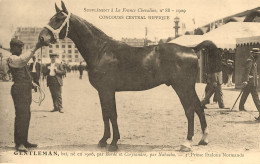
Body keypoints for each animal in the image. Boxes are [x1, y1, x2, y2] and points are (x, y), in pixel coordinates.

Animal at [38, 0, 209, 151]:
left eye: (58, 19)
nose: (41, 38)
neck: (101, 50)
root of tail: (192, 49)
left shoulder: (108, 90)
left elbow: (113, 115)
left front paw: (114, 143)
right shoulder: (102, 91)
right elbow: (105, 114)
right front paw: (103, 140)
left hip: (182, 87)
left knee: (190, 110)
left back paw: (186, 143)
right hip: (188, 88)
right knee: (199, 107)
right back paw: (203, 139)